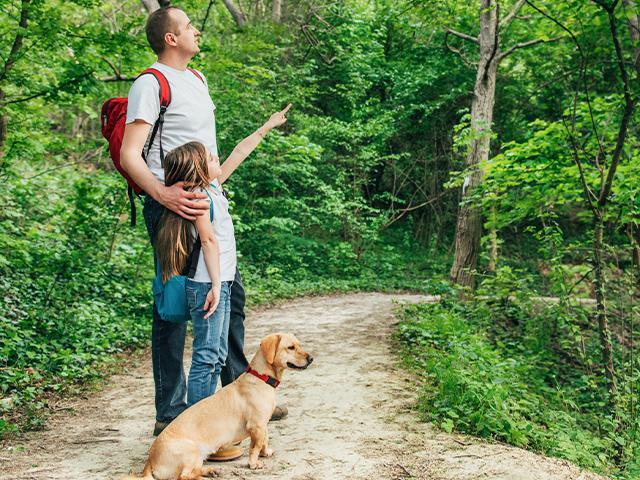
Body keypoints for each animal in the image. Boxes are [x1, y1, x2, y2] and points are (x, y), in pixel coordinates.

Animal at [123, 334, 312, 480]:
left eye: (299, 345)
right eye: (291, 347)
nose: (311, 359)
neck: (261, 378)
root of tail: (149, 462)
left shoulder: (262, 425)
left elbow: (264, 440)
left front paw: (266, 452)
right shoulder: (256, 425)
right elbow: (255, 446)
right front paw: (254, 462)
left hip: (197, 456)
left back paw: (212, 470)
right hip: (191, 452)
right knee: (184, 477)